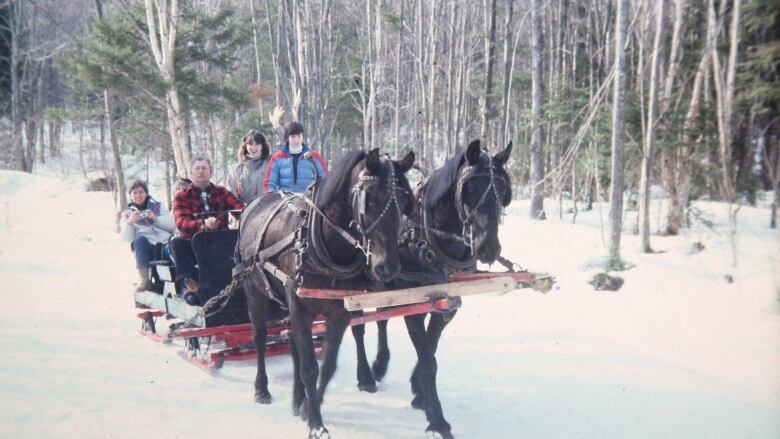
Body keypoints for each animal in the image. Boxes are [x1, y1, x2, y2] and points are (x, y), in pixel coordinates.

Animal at [235, 150, 418, 438]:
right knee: (260, 337)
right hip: (254, 290)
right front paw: (315, 422)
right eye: (369, 199)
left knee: (294, 346)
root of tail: (255, 203)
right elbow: (310, 368)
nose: (387, 267)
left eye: (404, 201)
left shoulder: (338, 312)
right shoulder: (300, 306)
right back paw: (261, 389)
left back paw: (298, 397)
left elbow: (327, 365)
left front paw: (308, 408)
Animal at [352, 139, 512, 438]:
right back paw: (366, 376)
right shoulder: (413, 307)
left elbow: (432, 348)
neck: (429, 237)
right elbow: (428, 360)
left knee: (381, 320)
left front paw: (418, 392)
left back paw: (380, 365)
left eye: (503, 192)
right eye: (470, 189)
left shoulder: (446, 305)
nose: (489, 248)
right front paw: (437, 419)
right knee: (357, 326)